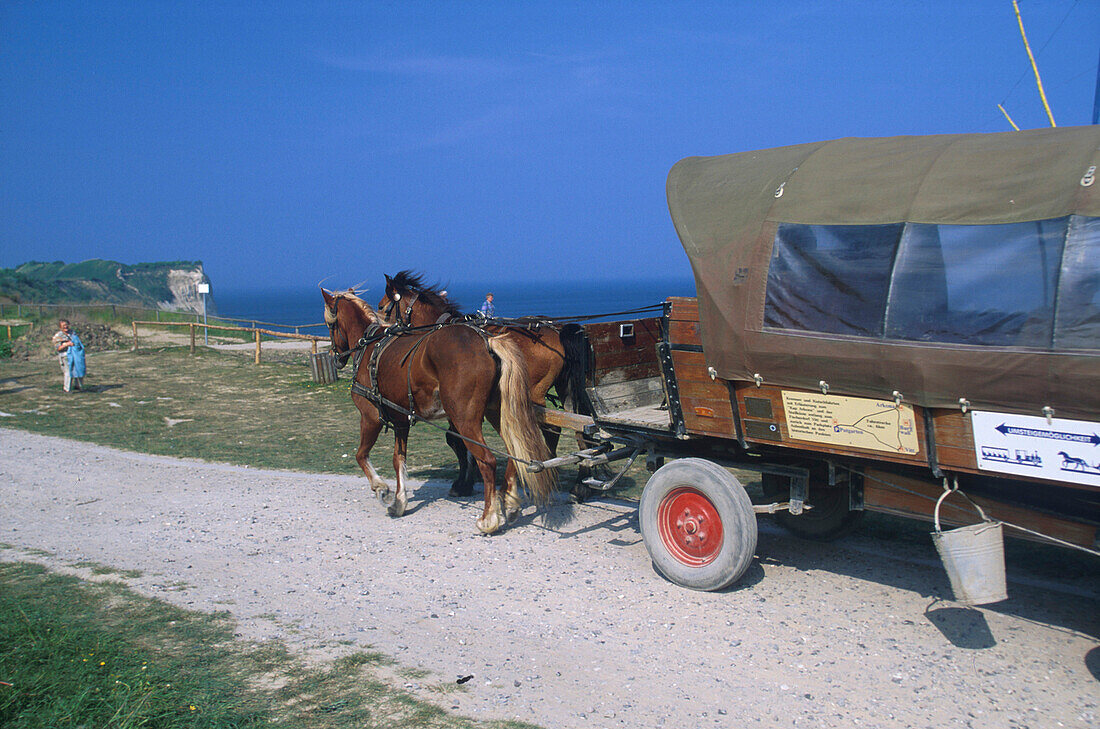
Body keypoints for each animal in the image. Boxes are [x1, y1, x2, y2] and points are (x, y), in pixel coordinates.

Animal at [321, 288, 554, 534]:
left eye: (330, 325)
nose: (337, 358)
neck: (369, 347)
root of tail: (487, 342)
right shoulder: (401, 420)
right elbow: (398, 459)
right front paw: (399, 502)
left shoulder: (370, 417)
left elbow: (361, 455)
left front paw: (381, 489)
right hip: (497, 414)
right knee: (513, 453)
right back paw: (509, 504)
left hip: (464, 419)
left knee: (488, 461)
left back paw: (489, 519)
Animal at [380, 272, 576, 496]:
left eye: (383, 307)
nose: (385, 333)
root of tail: (555, 330)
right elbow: (459, 440)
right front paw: (467, 479)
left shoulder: (459, 407)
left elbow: (457, 440)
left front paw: (462, 483)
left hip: (533, 396)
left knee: (548, 430)